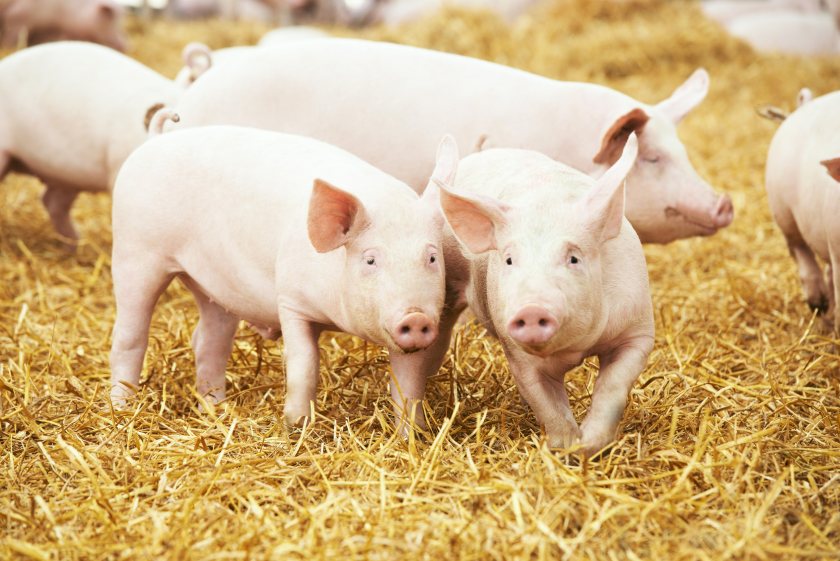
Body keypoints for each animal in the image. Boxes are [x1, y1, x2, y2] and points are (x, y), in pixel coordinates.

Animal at [110, 121, 460, 430]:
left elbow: (409, 384)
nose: (415, 317)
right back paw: (121, 407)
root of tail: (155, 140)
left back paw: (217, 408)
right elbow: (304, 364)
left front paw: (412, 434)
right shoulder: (291, 301)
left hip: (214, 287)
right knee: (129, 337)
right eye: (371, 259)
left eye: (431, 257)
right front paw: (296, 424)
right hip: (135, 252)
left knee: (209, 342)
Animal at [439, 135, 654, 457]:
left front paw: (588, 444)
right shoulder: (518, 355)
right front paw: (568, 448)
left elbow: (613, 386)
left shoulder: (637, 331)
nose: (531, 309)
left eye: (574, 258)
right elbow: (547, 406)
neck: (575, 349)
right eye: (509, 260)